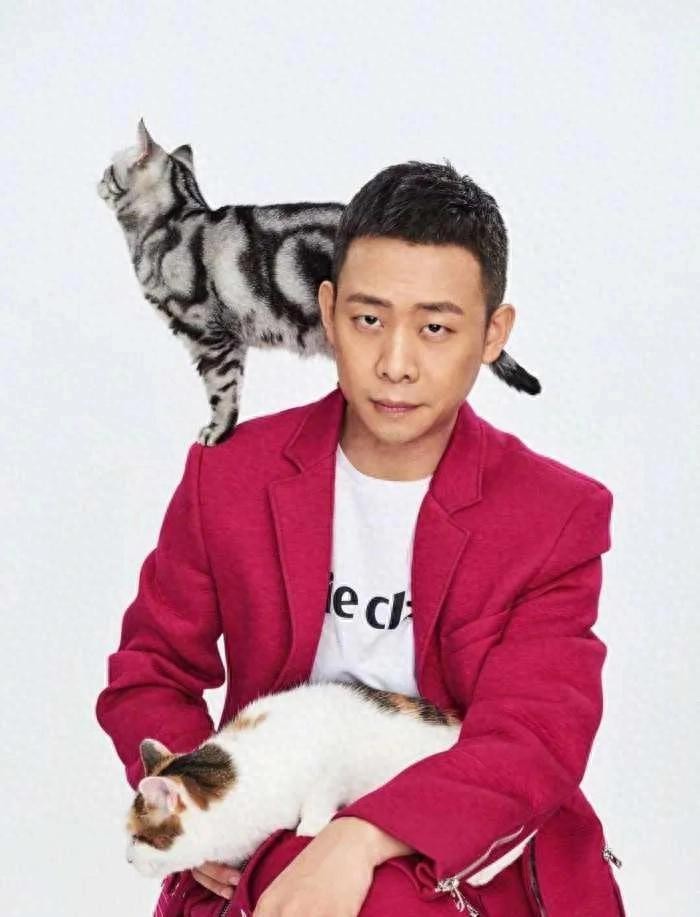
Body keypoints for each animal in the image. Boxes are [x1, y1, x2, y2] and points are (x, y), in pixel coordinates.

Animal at [97, 119, 541, 446]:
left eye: (108, 170)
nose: (97, 181)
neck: (172, 217)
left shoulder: (210, 335)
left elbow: (222, 390)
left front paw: (217, 432)